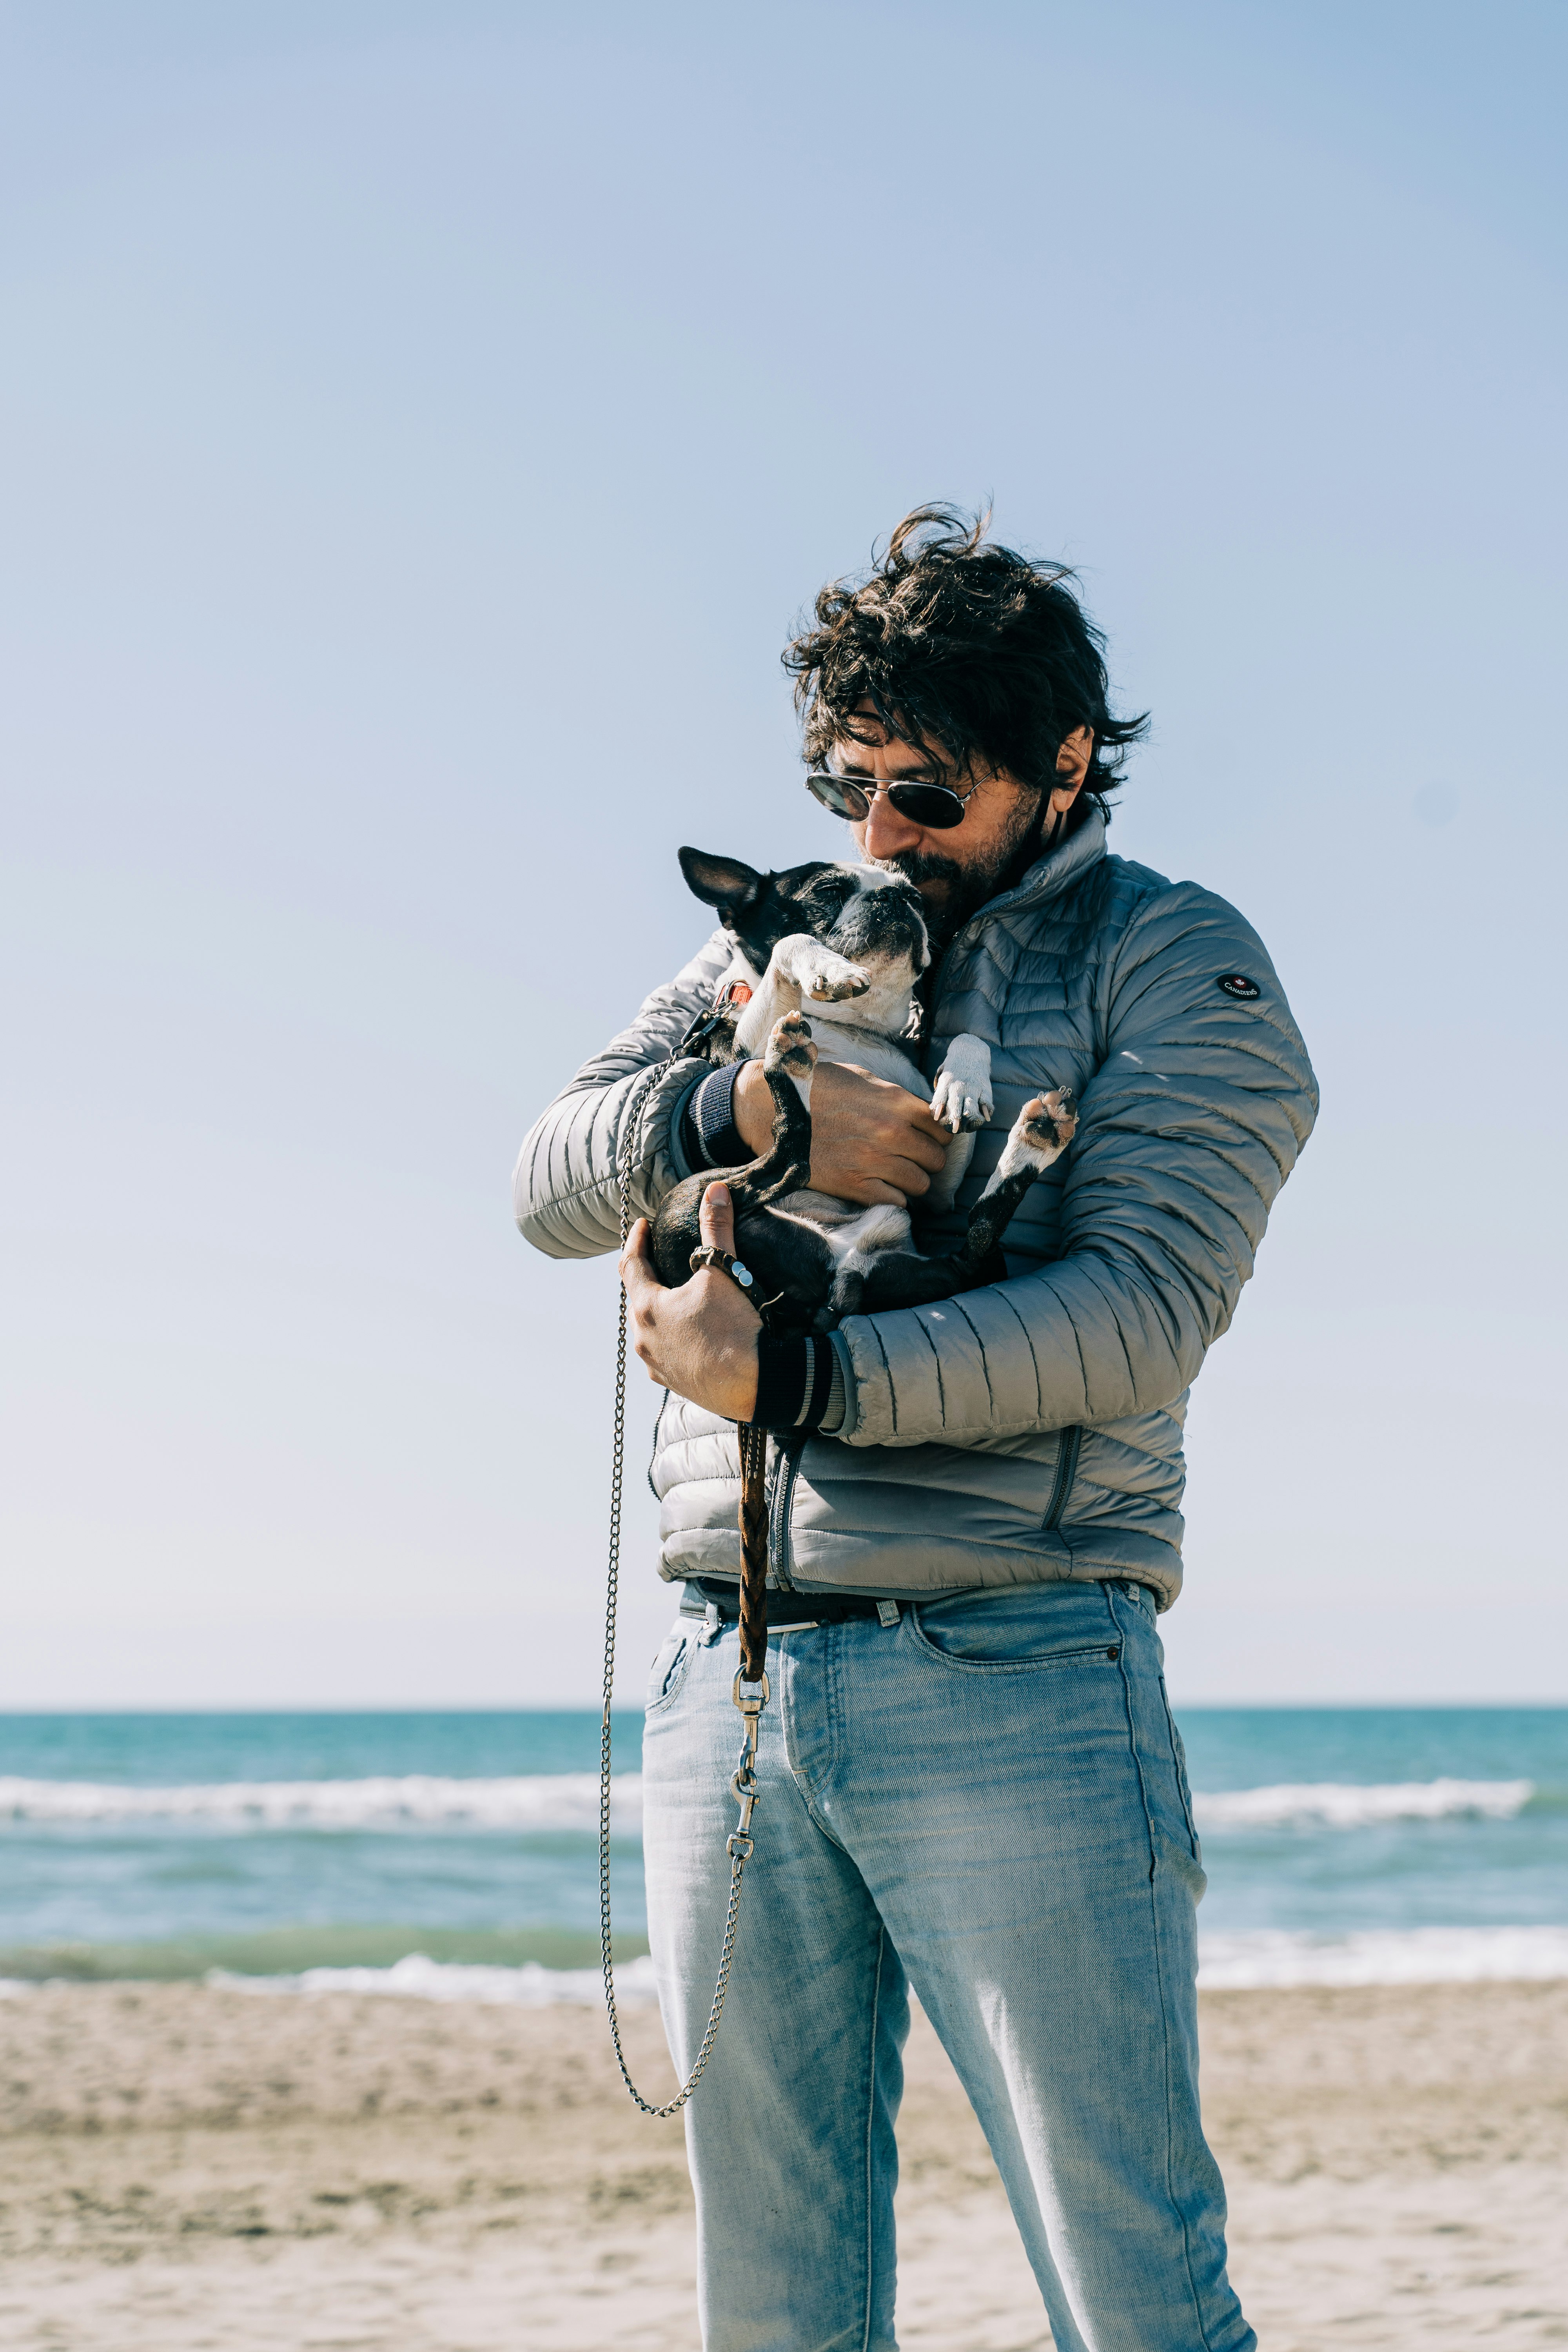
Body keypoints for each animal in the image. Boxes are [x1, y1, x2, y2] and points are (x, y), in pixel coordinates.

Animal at [653, 851, 1081, 1336]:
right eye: (828, 891)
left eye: (916, 897)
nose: (895, 897)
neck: (854, 1025)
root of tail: (833, 1293)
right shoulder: (745, 1050)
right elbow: (792, 943)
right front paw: (831, 969)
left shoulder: (937, 1190)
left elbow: (970, 1039)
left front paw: (964, 1085)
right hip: (690, 1200)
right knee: (783, 1159)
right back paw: (789, 1066)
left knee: (976, 1242)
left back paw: (1036, 1137)